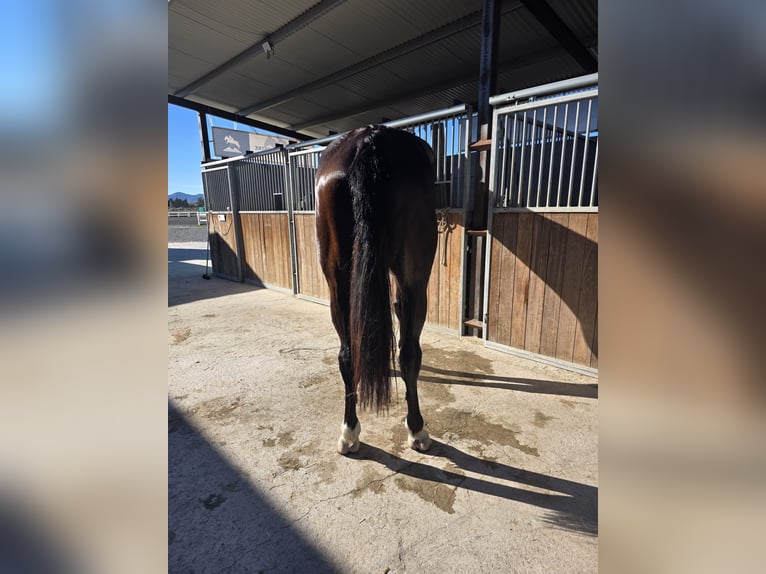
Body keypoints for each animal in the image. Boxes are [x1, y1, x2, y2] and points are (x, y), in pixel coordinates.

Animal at [315, 125, 438, 454]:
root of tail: (369, 139)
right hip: (415, 278)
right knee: (409, 353)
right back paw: (417, 430)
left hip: (337, 281)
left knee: (347, 354)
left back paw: (349, 432)